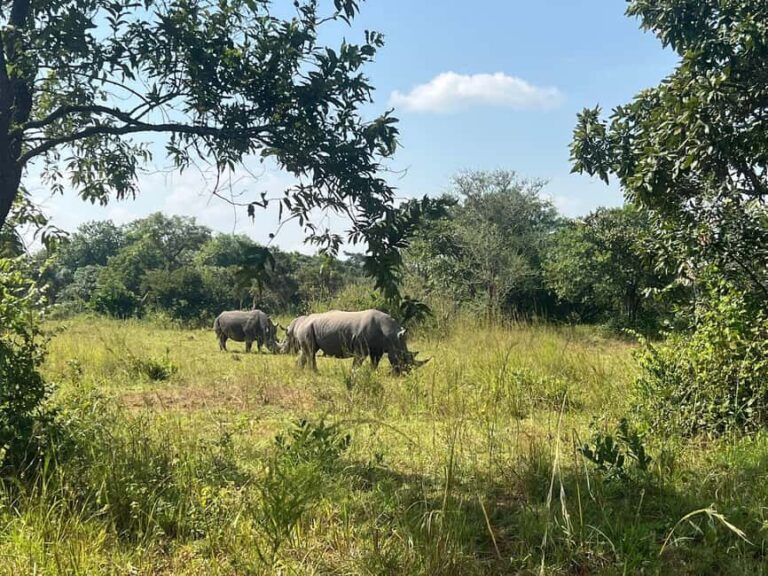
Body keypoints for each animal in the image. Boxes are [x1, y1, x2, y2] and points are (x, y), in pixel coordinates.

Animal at [293, 309, 429, 373]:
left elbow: (375, 362)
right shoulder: (361, 347)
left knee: (307, 352)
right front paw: (354, 374)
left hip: (309, 327)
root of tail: (302, 321)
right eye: (402, 358)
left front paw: (373, 373)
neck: (391, 335)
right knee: (311, 352)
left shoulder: (378, 348)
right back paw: (315, 373)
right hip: (307, 328)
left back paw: (301, 372)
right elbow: (357, 363)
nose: (405, 373)